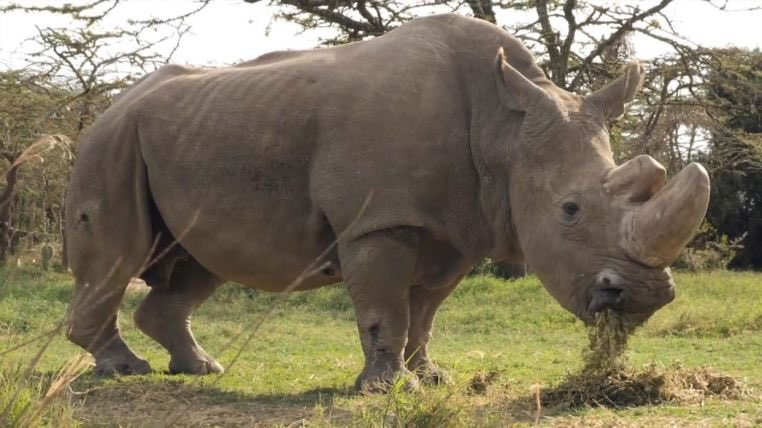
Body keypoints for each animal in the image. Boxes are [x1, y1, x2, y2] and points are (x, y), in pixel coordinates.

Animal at [64, 14, 710, 390]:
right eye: (570, 210)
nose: (644, 299)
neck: (502, 131)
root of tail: (110, 106)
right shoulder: (378, 220)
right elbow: (385, 308)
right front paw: (386, 388)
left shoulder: (456, 230)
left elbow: (424, 311)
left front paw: (431, 377)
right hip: (110, 144)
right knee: (118, 256)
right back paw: (124, 370)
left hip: (187, 137)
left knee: (200, 263)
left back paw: (199, 369)